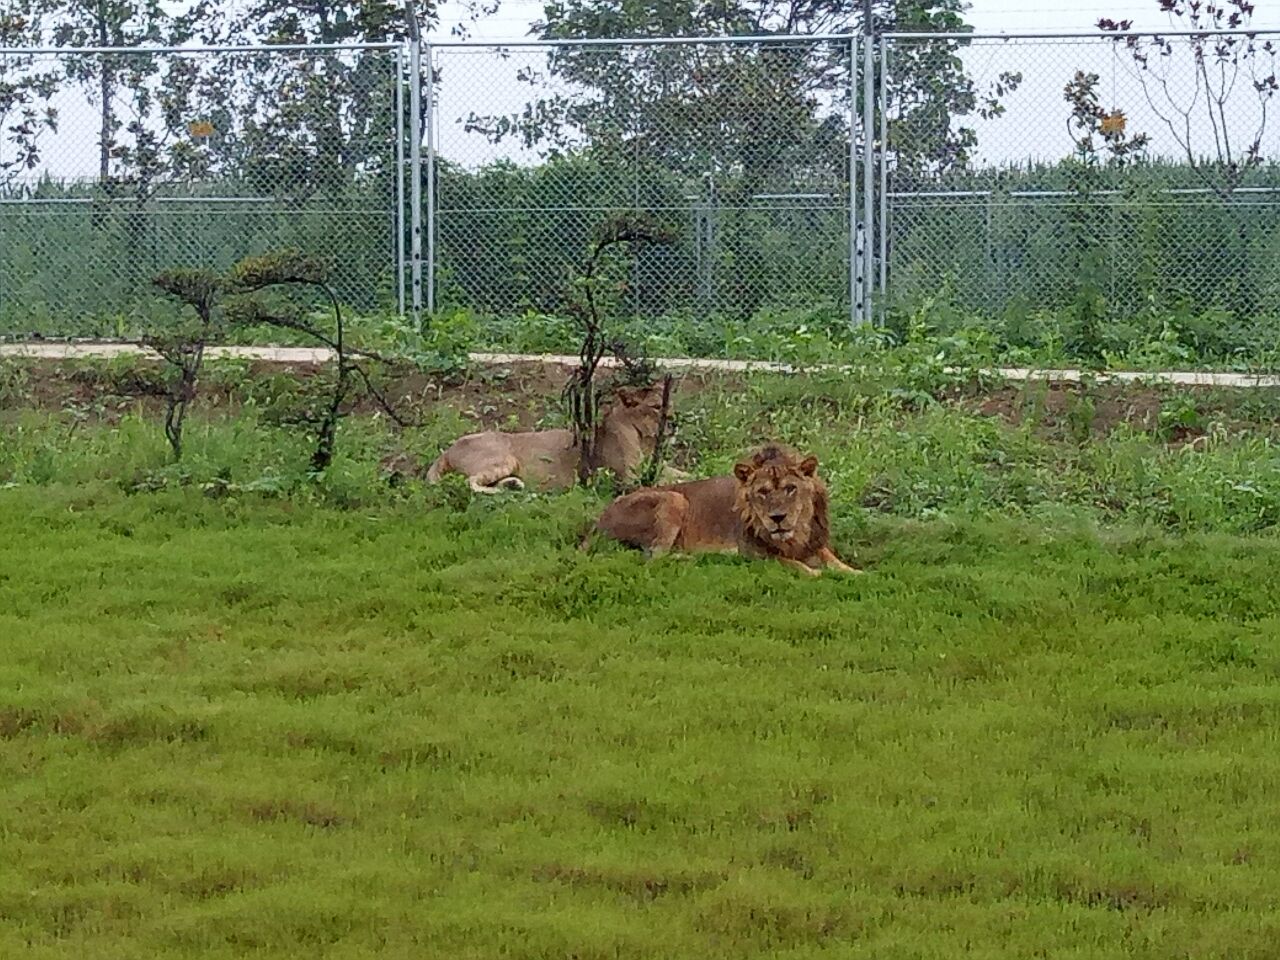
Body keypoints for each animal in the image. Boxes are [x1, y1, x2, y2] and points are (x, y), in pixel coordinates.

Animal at [586, 445, 860, 576]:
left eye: (791, 488)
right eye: (762, 492)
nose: (778, 518)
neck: (795, 534)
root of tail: (597, 522)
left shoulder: (815, 543)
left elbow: (835, 561)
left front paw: (857, 573)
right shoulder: (754, 552)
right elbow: (791, 564)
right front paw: (814, 572)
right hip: (675, 498)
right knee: (652, 557)